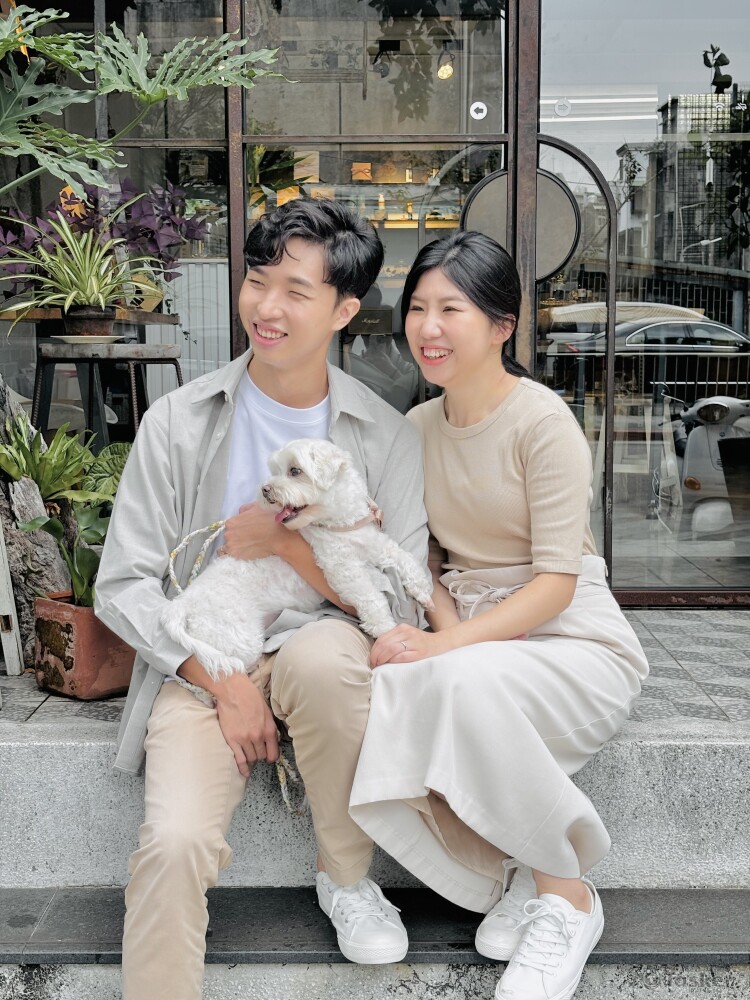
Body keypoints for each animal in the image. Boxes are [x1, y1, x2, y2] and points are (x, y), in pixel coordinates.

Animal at [161, 438, 433, 681]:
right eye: (276, 471)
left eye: (295, 471)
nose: (265, 489)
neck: (336, 525)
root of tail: (181, 606)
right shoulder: (343, 569)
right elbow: (371, 599)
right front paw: (388, 631)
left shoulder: (375, 544)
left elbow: (406, 560)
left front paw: (423, 594)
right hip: (239, 639)